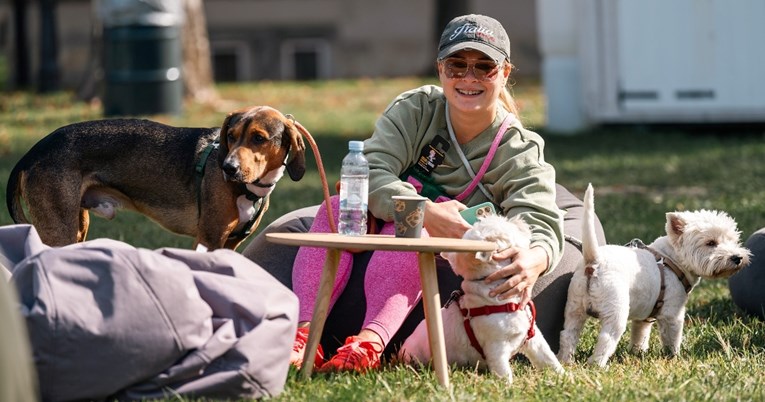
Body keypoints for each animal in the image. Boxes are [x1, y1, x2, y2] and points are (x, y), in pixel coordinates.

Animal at [6, 105, 304, 250]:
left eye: (259, 138)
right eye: (230, 136)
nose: (228, 168)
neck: (248, 189)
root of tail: (33, 151)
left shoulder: (229, 243)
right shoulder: (209, 239)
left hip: (78, 226)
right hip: (59, 232)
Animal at [396, 214, 564, 384]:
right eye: (503, 223)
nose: (519, 219)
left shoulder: (534, 339)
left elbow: (549, 359)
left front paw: (564, 378)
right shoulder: (496, 349)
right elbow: (505, 374)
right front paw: (508, 387)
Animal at [560, 185, 748, 368]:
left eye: (733, 240)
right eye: (711, 243)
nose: (737, 258)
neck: (672, 259)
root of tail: (594, 261)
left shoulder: (644, 316)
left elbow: (640, 334)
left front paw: (637, 352)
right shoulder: (673, 313)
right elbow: (672, 338)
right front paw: (674, 357)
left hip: (574, 307)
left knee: (567, 334)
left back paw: (565, 360)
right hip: (615, 309)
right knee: (606, 338)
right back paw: (597, 365)